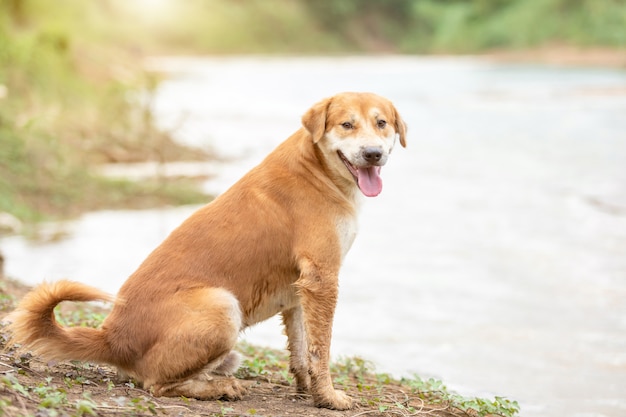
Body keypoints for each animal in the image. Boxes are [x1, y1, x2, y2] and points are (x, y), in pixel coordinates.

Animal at [6, 92, 404, 410]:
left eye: (381, 123)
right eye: (346, 124)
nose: (373, 154)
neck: (317, 168)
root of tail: (112, 337)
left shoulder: (300, 290)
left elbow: (303, 350)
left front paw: (309, 392)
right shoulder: (323, 278)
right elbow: (321, 350)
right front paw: (330, 398)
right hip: (222, 306)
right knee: (156, 384)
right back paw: (218, 388)